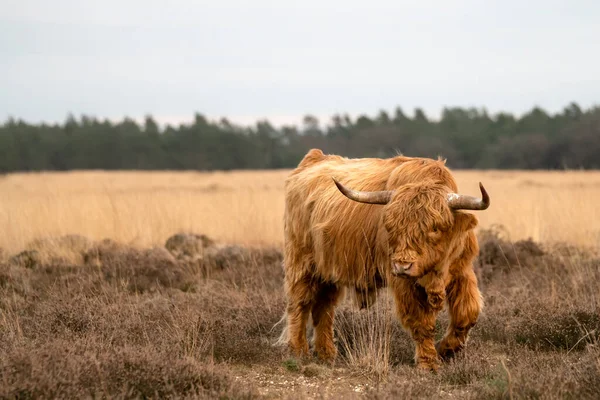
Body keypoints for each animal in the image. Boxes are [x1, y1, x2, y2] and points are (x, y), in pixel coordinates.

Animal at [278, 148, 490, 370]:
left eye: (434, 228)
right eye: (391, 226)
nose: (403, 265)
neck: (436, 272)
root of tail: (313, 159)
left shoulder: (462, 270)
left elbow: (467, 314)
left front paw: (446, 348)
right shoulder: (403, 283)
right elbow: (421, 321)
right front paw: (428, 362)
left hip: (328, 270)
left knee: (324, 307)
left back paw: (326, 353)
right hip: (301, 262)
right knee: (299, 303)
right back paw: (299, 351)